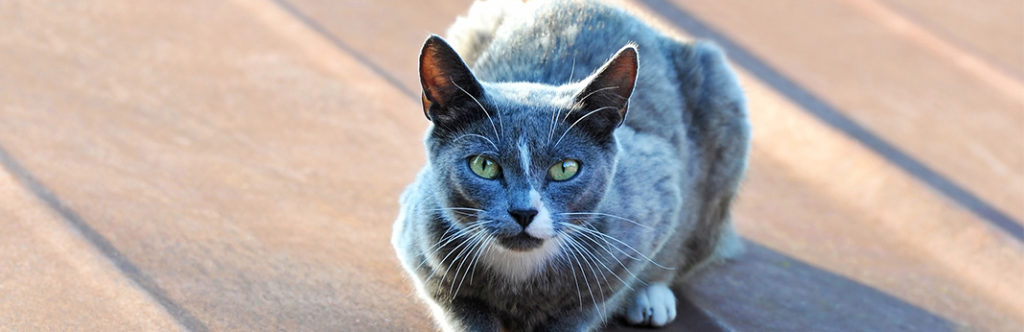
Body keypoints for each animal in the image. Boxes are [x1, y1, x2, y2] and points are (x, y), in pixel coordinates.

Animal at [387, 0, 749, 329]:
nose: (523, 212)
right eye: (484, 165)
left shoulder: (653, 200)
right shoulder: (425, 252)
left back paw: (651, 297)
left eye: (565, 168)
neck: (521, 273)